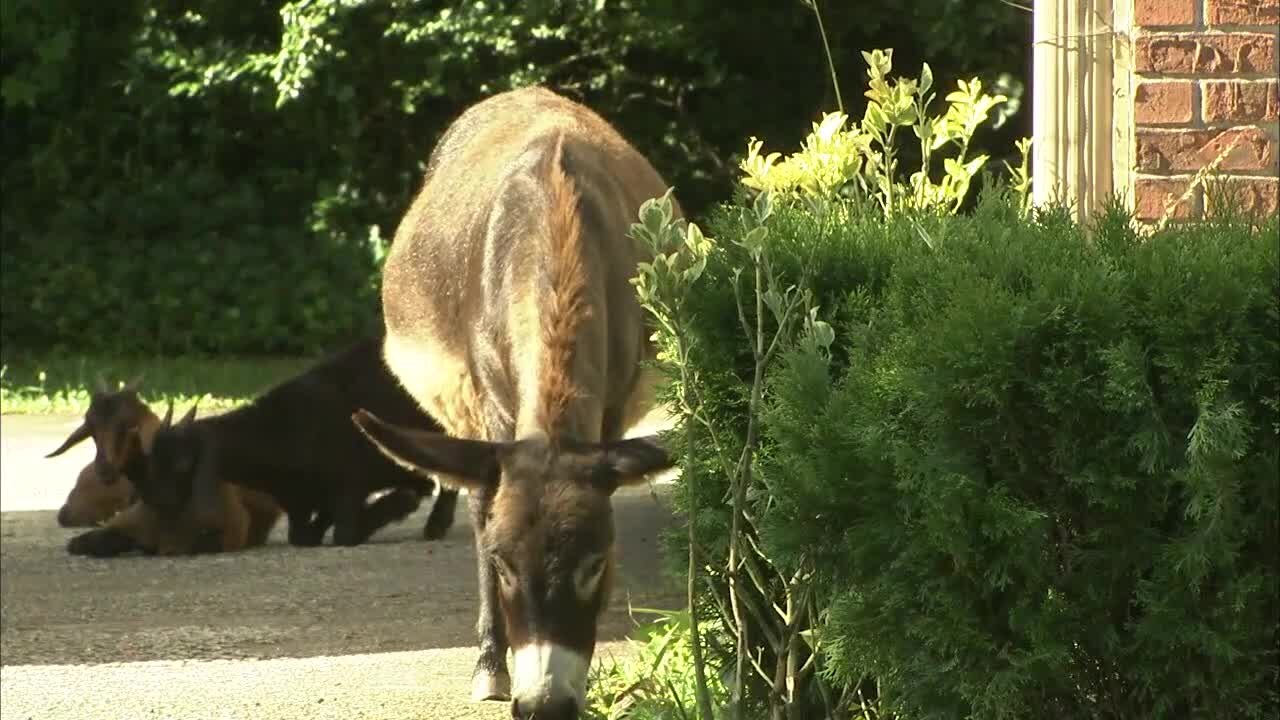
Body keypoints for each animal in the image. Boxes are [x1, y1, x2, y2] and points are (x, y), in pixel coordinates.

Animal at [151, 333, 458, 547]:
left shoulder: (349, 484)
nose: (158, 502)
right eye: (151, 460)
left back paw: (436, 523)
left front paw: (402, 501)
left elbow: (344, 534)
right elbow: (301, 536)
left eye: (181, 463)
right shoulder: (297, 502)